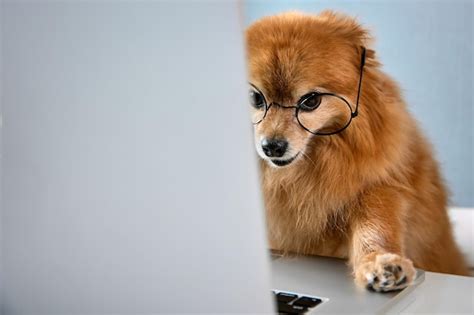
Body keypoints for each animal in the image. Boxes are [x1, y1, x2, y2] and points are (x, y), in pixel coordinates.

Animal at [246, 11, 468, 292]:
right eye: (255, 98)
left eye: (311, 101)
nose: (272, 146)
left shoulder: (377, 188)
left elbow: (375, 227)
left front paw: (381, 262)